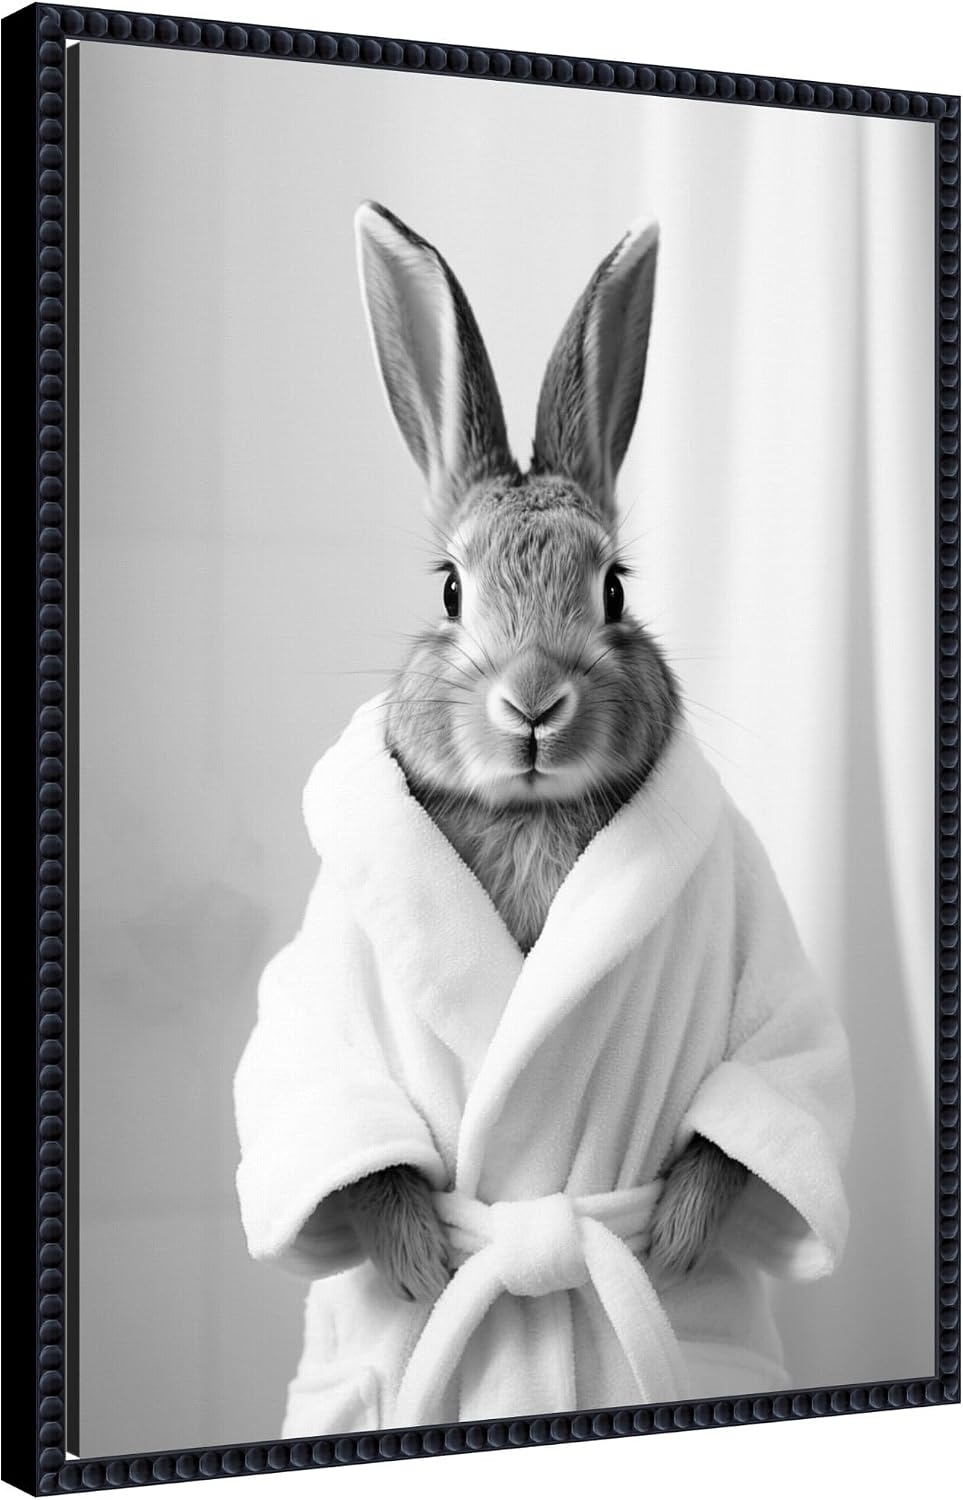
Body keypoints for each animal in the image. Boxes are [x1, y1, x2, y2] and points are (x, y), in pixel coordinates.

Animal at [340, 201, 747, 1300]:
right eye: (450, 589)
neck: (531, 809)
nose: (531, 703)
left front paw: (680, 1242)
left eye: (613, 588)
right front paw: (415, 1266)